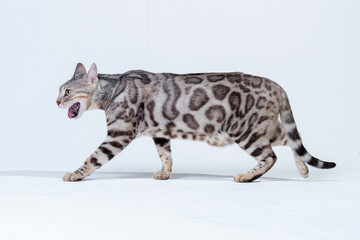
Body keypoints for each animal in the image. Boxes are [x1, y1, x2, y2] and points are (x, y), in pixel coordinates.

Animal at [55, 62, 334, 181]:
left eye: (67, 92)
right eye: (59, 91)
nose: (56, 102)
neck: (113, 87)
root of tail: (276, 85)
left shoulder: (119, 133)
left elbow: (93, 158)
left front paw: (75, 174)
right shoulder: (160, 132)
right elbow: (166, 155)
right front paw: (165, 173)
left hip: (245, 131)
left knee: (270, 156)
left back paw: (247, 176)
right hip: (262, 128)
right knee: (291, 139)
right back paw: (303, 169)